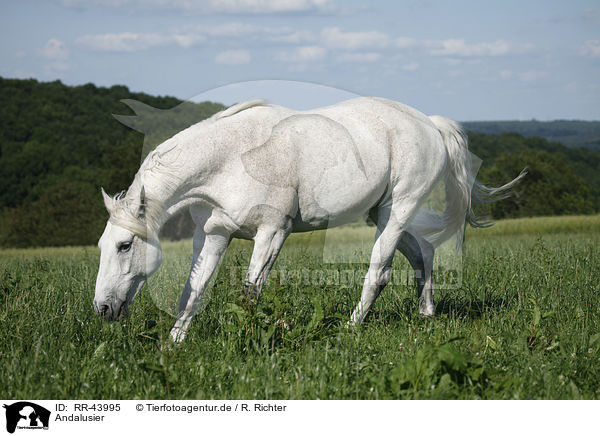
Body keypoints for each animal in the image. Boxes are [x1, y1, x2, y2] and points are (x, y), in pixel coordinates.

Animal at [94, 97, 524, 342]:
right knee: (424, 254)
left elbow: (251, 291)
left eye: (125, 245)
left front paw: (251, 335)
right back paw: (426, 314)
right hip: (381, 213)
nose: (102, 309)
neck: (230, 158)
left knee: (379, 272)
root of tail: (430, 124)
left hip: (398, 210)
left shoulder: (273, 233)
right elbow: (195, 288)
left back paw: (351, 328)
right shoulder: (214, 234)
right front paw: (176, 341)